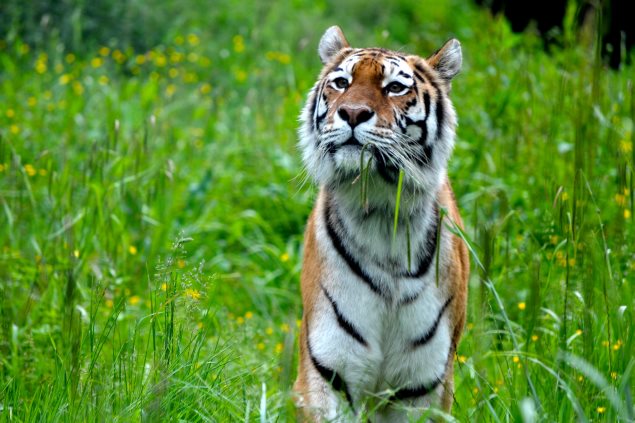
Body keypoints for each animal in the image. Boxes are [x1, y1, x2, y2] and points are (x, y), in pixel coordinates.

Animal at [294, 25, 472, 420]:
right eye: (341, 83)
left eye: (394, 88)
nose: (352, 113)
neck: (379, 207)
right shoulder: (328, 372)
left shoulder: (424, 386)